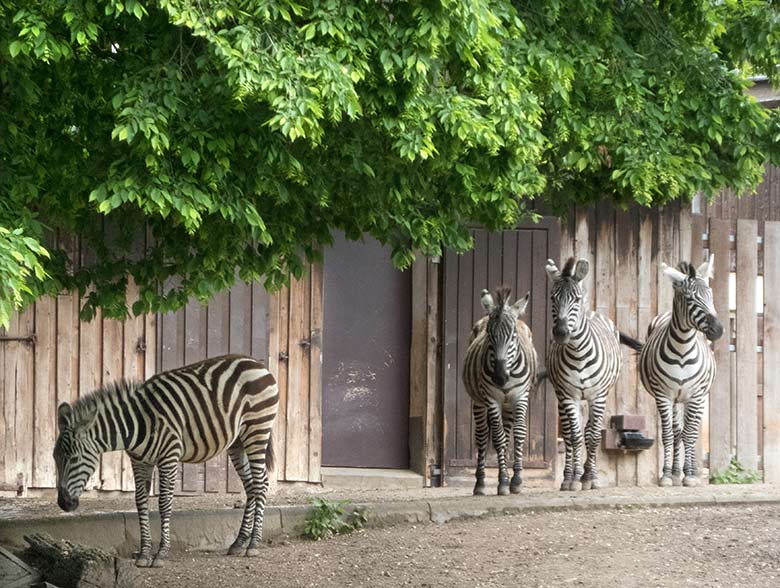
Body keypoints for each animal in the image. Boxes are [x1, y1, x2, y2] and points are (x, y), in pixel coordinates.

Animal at [52, 354, 278, 564]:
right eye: (55, 458)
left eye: (74, 458)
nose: (63, 503)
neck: (138, 423)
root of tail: (255, 362)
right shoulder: (140, 462)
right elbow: (140, 502)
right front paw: (144, 554)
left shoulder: (169, 456)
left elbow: (164, 502)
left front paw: (161, 553)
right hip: (237, 442)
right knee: (251, 486)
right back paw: (239, 542)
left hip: (257, 430)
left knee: (261, 483)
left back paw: (253, 544)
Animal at [460, 284, 540, 496]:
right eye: (489, 336)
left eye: (513, 336)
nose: (500, 378)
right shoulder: (491, 399)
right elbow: (497, 437)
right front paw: (503, 481)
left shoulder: (520, 397)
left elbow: (519, 433)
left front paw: (516, 480)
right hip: (479, 402)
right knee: (482, 436)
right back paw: (480, 484)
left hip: (508, 405)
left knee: (507, 434)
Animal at [544, 258, 624, 492]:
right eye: (553, 298)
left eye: (576, 299)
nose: (561, 333)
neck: (578, 353)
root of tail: (592, 312)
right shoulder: (568, 395)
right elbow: (575, 436)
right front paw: (573, 479)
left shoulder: (598, 396)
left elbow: (594, 436)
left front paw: (590, 478)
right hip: (563, 397)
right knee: (570, 434)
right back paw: (571, 475)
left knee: (589, 430)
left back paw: (587, 473)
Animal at [628, 256, 724, 486]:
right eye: (689, 299)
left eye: (710, 296)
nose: (718, 330)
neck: (682, 350)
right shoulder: (664, 396)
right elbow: (668, 435)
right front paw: (666, 475)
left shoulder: (696, 396)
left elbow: (690, 434)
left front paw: (689, 475)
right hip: (674, 399)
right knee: (676, 431)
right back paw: (674, 471)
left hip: (693, 398)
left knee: (688, 431)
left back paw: (685, 470)